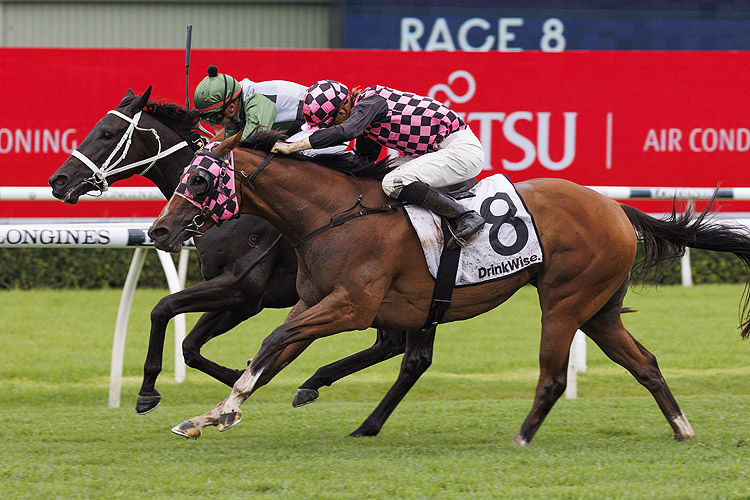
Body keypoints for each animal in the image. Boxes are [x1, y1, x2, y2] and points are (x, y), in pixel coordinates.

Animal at [48, 89, 406, 414]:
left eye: (107, 133)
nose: (58, 180)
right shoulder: (235, 296)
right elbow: (189, 346)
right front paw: (239, 375)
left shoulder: (242, 291)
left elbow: (163, 308)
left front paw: (148, 390)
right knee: (390, 344)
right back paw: (312, 383)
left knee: (391, 343)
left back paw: (312, 383)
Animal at [148, 130, 750, 446]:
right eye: (183, 174)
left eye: (199, 177)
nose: (159, 231)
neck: (332, 215)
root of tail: (616, 207)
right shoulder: (315, 301)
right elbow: (272, 351)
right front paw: (208, 414)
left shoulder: (349, 306)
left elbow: (273, 341)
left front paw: (225, 410)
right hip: (598, 309)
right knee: (644, 362)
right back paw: (682, 429)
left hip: (564, 301)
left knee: (554, 375)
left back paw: (521, 438)